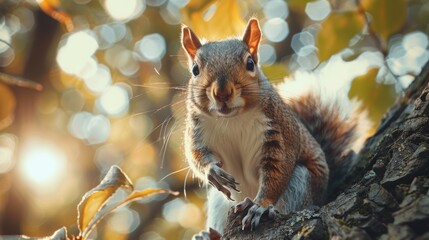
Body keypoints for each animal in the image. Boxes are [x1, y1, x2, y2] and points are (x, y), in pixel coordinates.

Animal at [180, 18, 368, 238]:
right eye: (195, 69)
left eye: (250, 63)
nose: (222, 92)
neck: (232, 119)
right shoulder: (197, 133)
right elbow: (195, 155)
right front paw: (212, 171)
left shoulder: (279, 132)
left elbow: (277, 171)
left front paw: (261, 206)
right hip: (220, 203)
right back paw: (210, 234)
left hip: (301, 183)